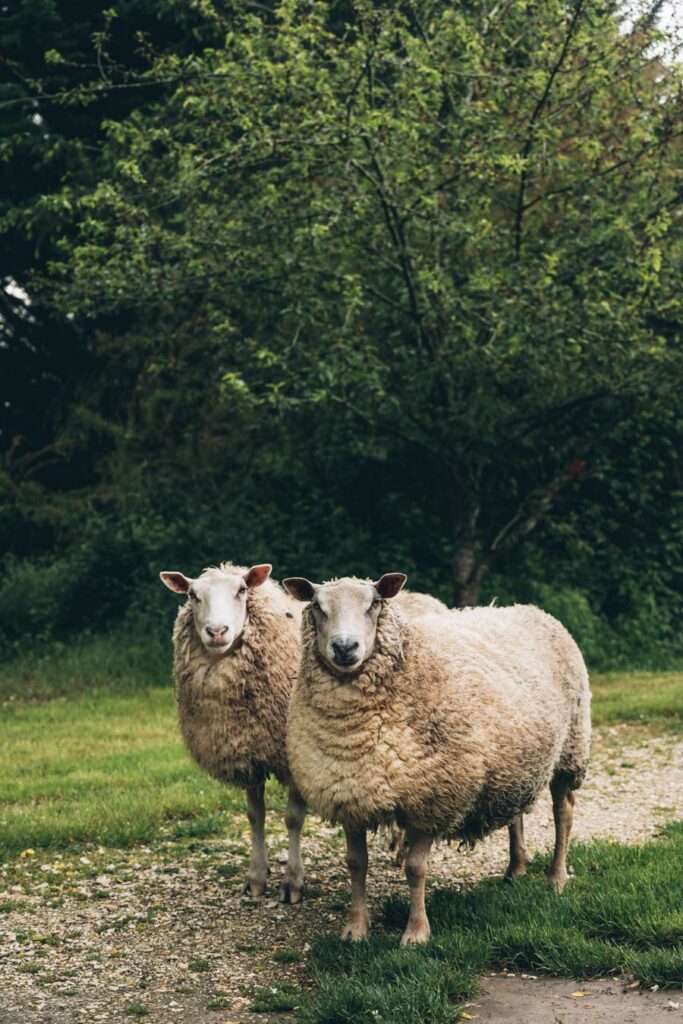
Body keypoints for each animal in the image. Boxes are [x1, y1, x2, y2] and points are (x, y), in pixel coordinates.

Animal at [160, 561, 305, 905]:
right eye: (192, 594)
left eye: (241, 590)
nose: (217, 632)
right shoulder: (247, 752)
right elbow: (255, 815)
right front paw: (256, 877)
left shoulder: (293, 758)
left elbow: (293, 818)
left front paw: (293, 882)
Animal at [282, 573, 593, 937]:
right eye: (317, 605)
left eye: (374, 603)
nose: (345, 648)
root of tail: (532, 609)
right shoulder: (350, 794)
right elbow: (356, 865)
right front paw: (355, 929)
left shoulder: (434, 796)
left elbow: (416, 868)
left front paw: (416, 932)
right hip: (515, 758)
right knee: (516, 812)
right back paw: (515, 869)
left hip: (571, 747)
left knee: (563, 812)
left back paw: (556, 878)